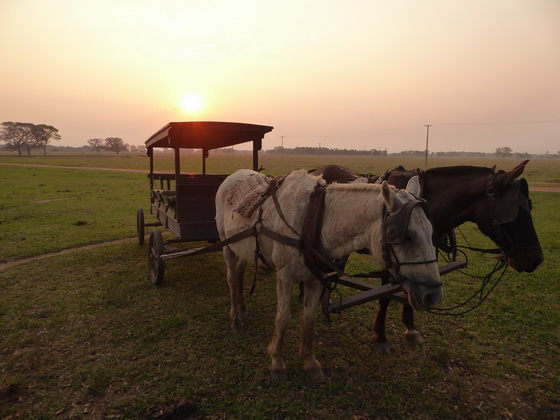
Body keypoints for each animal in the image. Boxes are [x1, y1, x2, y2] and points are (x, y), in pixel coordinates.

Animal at [217, 169, 440, 382]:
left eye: (431, 231)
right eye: (405, 236)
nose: (432, 295)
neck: (313, 219)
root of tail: (233, 175)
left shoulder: (315, 279)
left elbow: (309, 318)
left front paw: (310, 363)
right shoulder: (285, 276)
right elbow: (283, 318)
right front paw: (277, 363)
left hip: (241, 248)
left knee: (239, 274)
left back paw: (242, 308)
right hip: (227, 246)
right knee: (231, 278)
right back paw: (236, 319)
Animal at [310, 159, 544, 352]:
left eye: (530, 206)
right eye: (515, 212)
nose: (535, 259)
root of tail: (317, 169)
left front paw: (411, 327)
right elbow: (386, 296)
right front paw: (381, 336)